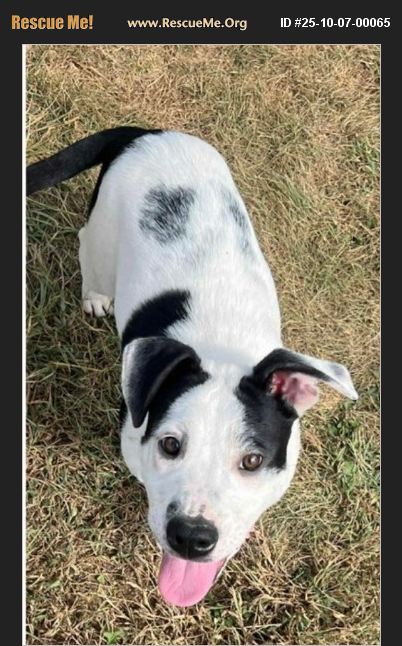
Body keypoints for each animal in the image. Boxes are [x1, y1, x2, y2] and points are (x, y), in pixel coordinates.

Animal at [27, 127, 358, 607]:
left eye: (253, 460)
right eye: (169, 445)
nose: (191, 536)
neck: (224, 346)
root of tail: (146, 132)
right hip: (104, 231)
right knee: (88, 244)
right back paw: (96, 295)